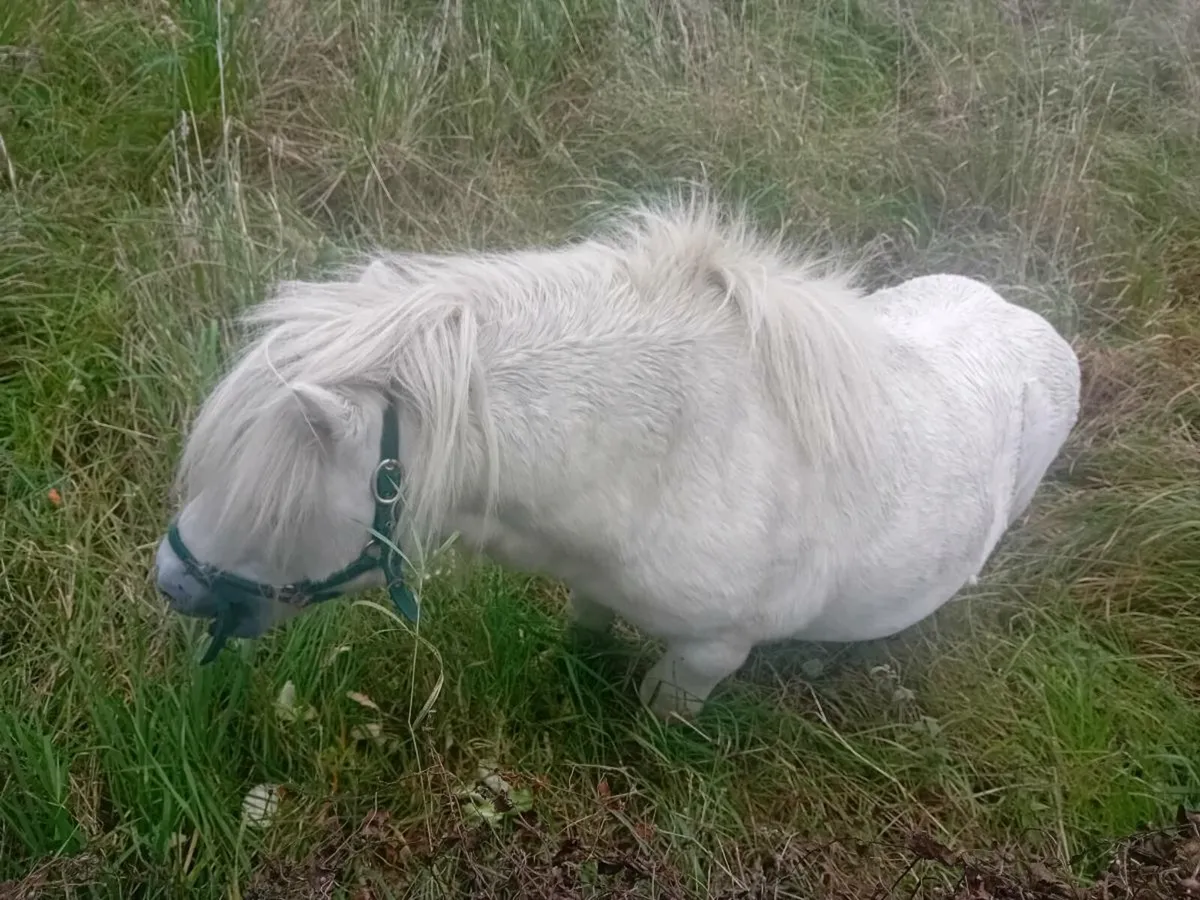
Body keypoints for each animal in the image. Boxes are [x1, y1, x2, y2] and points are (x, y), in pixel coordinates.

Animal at [152, 199, 1081, 720]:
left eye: (269, 498)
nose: (170, 581)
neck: (665, 457)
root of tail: (1030, 320)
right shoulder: (593, 588)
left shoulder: (706, 657)